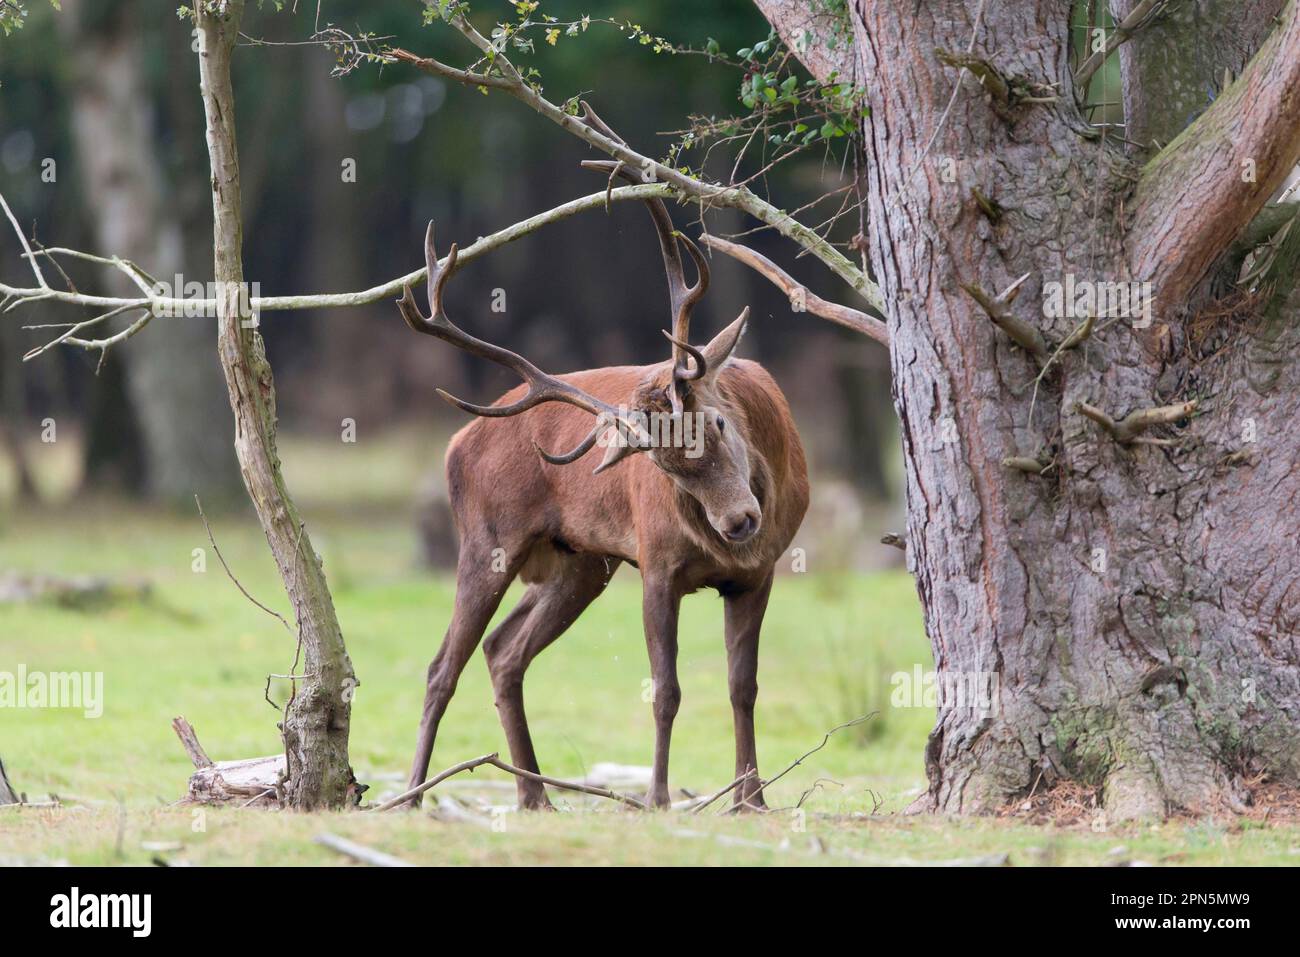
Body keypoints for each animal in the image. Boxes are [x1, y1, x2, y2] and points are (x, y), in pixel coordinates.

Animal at [396, 162, 809, 812]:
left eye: (718, 423)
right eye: (663, 467)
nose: (739, 521)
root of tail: (456, 442)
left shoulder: (758, 573)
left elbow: (743, 686)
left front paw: (752, 799)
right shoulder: (657, 562)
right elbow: (665, 688)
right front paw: (658, 798)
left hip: (581, 562)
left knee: (503, 651)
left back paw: (536, 796)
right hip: (489, 538)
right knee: (443, 666)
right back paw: (413, 794)